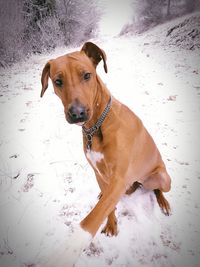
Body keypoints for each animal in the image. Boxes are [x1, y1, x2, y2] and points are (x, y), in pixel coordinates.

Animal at [40, 42, 170, 245]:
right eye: (58, 81)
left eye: (87, 75)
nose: (77, 113)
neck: (96, 127)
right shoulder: (98, 172)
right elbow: (107, 206)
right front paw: (111, 224)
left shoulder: (118, 178)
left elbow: (96, 215)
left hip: (163, 178)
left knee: (157, 189)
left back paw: (163, 202)